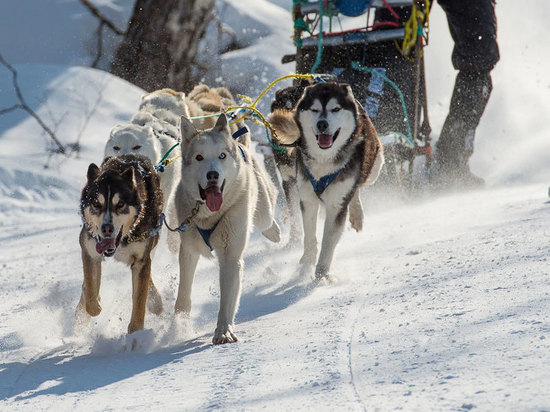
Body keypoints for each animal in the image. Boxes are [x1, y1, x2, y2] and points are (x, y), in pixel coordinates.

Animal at [76, 153, 165, 334]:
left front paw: (136, 333)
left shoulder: (141, 261)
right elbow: (91, 297)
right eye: (96, 204)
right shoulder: (90, 252)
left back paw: (155, 302)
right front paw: (93, 303)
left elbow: (139, 301)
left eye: (121, 204)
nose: (107, 228)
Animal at [176, 112, 280, 344]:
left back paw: (274, 232)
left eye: (222, 156)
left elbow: (226, 300)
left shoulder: (230, 256)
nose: (212, 175)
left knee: (268, 216)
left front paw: (223, 331)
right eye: (199, 157)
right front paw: (178, 326)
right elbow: (184, 294)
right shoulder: (188, 250)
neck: (208, 215)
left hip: (262, 212)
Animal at [270, 80, 384, 280]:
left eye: (335, 109)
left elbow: (328, 240)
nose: (322, 124)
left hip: (375, 168)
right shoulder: (306, 199)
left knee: (358, 186)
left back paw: (357, 214)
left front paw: (321, 274)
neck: (324, 161)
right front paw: (306, 265)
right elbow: (309, 237)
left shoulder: (336, 205)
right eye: (315, 109)